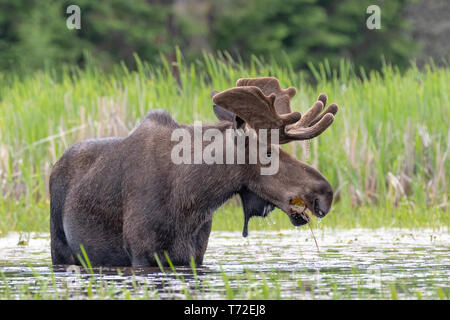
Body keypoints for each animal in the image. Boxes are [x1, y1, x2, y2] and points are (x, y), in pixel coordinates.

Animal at [50, 77, 338, 268]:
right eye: (268, 152)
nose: (325, 193)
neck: (192, 198)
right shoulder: (141, 254)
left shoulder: (195, 254)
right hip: (59, 247)